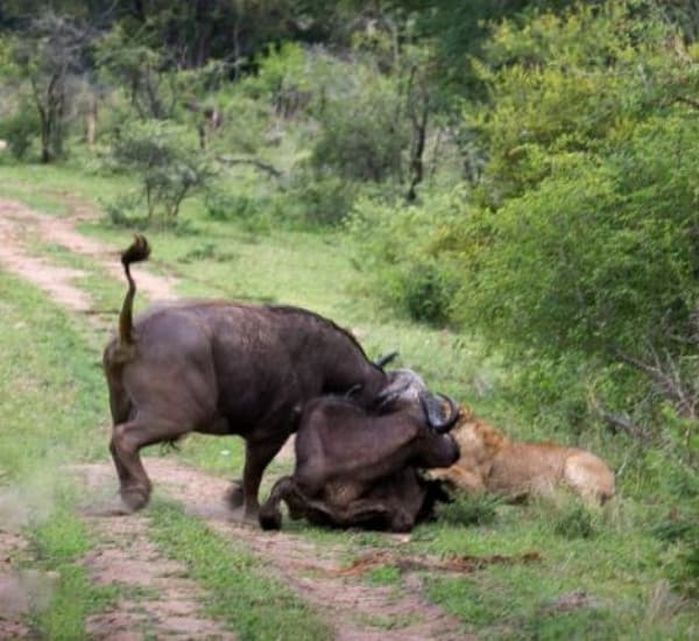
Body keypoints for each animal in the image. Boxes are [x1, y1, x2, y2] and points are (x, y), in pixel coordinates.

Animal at [104, 232, 430, 516]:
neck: (323, 363)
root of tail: (134, 332)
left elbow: (249, 473)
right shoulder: (270, 434)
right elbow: (254, 474)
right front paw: (251, 513)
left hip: (122, 405)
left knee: (113, 440)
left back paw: (125, 494)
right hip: (176, 417)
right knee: (124, 439)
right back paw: (137, 495)